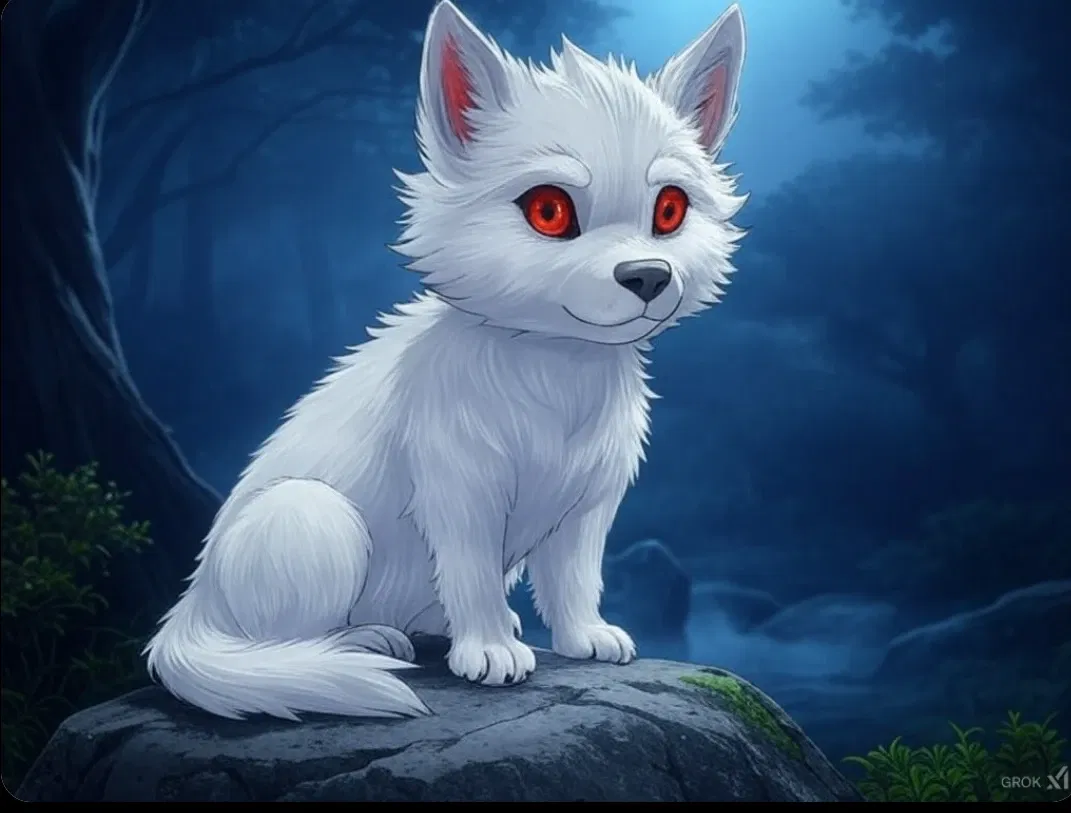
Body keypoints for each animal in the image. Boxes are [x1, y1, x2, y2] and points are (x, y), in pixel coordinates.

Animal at [145, 1, 748, 720]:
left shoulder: (587, 506)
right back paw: (365, 640)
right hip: (315, 518)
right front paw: (488, 651)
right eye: (549, 211)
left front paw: (584, 636)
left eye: (670, 210)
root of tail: (189, 606)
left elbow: (574, 579)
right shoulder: (460, 495)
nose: (650, 277)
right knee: (276, 641)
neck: (556, 373)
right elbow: (472, 574)